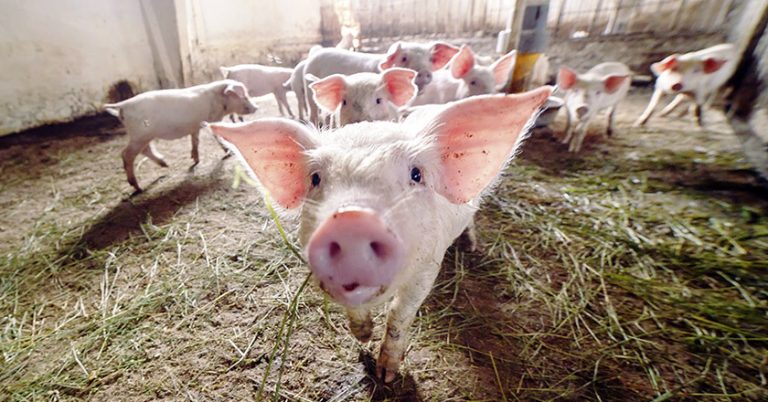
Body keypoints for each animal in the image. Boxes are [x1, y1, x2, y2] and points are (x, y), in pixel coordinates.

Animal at [104, 79, 257, 193]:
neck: (219, 101)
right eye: (243, 95)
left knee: (144, 150)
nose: (256, 108)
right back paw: (138, 187)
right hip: (139, 135)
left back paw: (165, 164)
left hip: (143, 136)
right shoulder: (213, 119)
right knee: (126, 155)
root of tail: (124, 105)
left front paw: (195, 160)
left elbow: (195, 140)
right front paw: (228, 152)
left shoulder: (196, 126)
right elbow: (216, 136)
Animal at [209, 86, 553, 383]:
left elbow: (399, 315)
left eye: (416, 174)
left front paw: (386, 375)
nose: (351, 220)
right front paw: (363, 338)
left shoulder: (428, 267)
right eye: (316, 179)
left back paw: (469, 246)